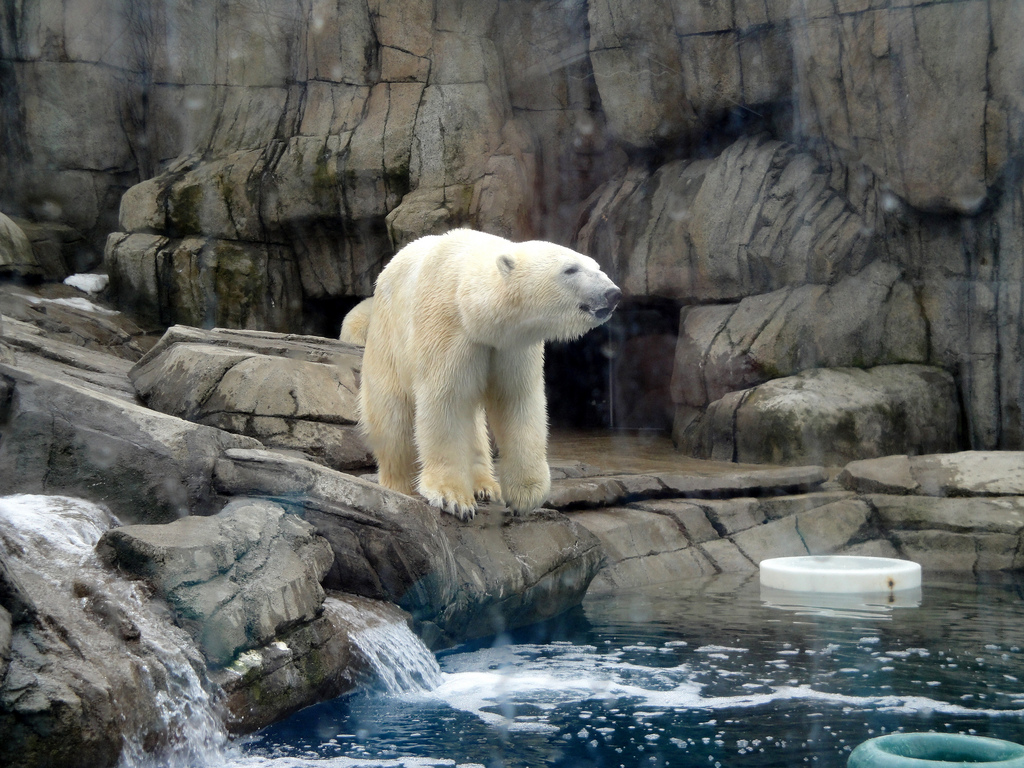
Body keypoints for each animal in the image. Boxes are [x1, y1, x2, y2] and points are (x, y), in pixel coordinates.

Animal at [358, 228, 621, 520]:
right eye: (570, 269)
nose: (613, 293)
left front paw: (525, 496)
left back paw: (485, 487)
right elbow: (445, 400)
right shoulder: (446, 328)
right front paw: (453, 498)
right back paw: (401, 486)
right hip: (387, 339)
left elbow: (516, 400)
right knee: (392, 416)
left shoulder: (511, 346)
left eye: (597, 266)